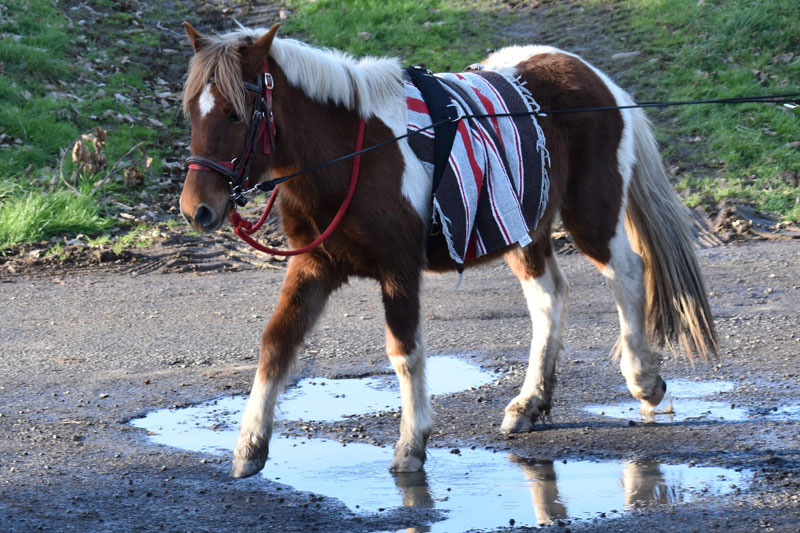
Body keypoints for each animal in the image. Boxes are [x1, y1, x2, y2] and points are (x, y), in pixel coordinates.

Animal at [178, 22, 717, 479]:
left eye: (235, 113)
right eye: (190, 112)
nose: (196, 209)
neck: (352, 152)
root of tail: (594, 76)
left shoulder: (398, 269)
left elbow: (405, 351)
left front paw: (411, 443)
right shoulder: (314, 266)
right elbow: (276, 343)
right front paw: (250, 445)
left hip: (591, 213)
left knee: (627, 271)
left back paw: (643, 379)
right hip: (524, 227)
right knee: (549, 298)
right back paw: (530, 403)